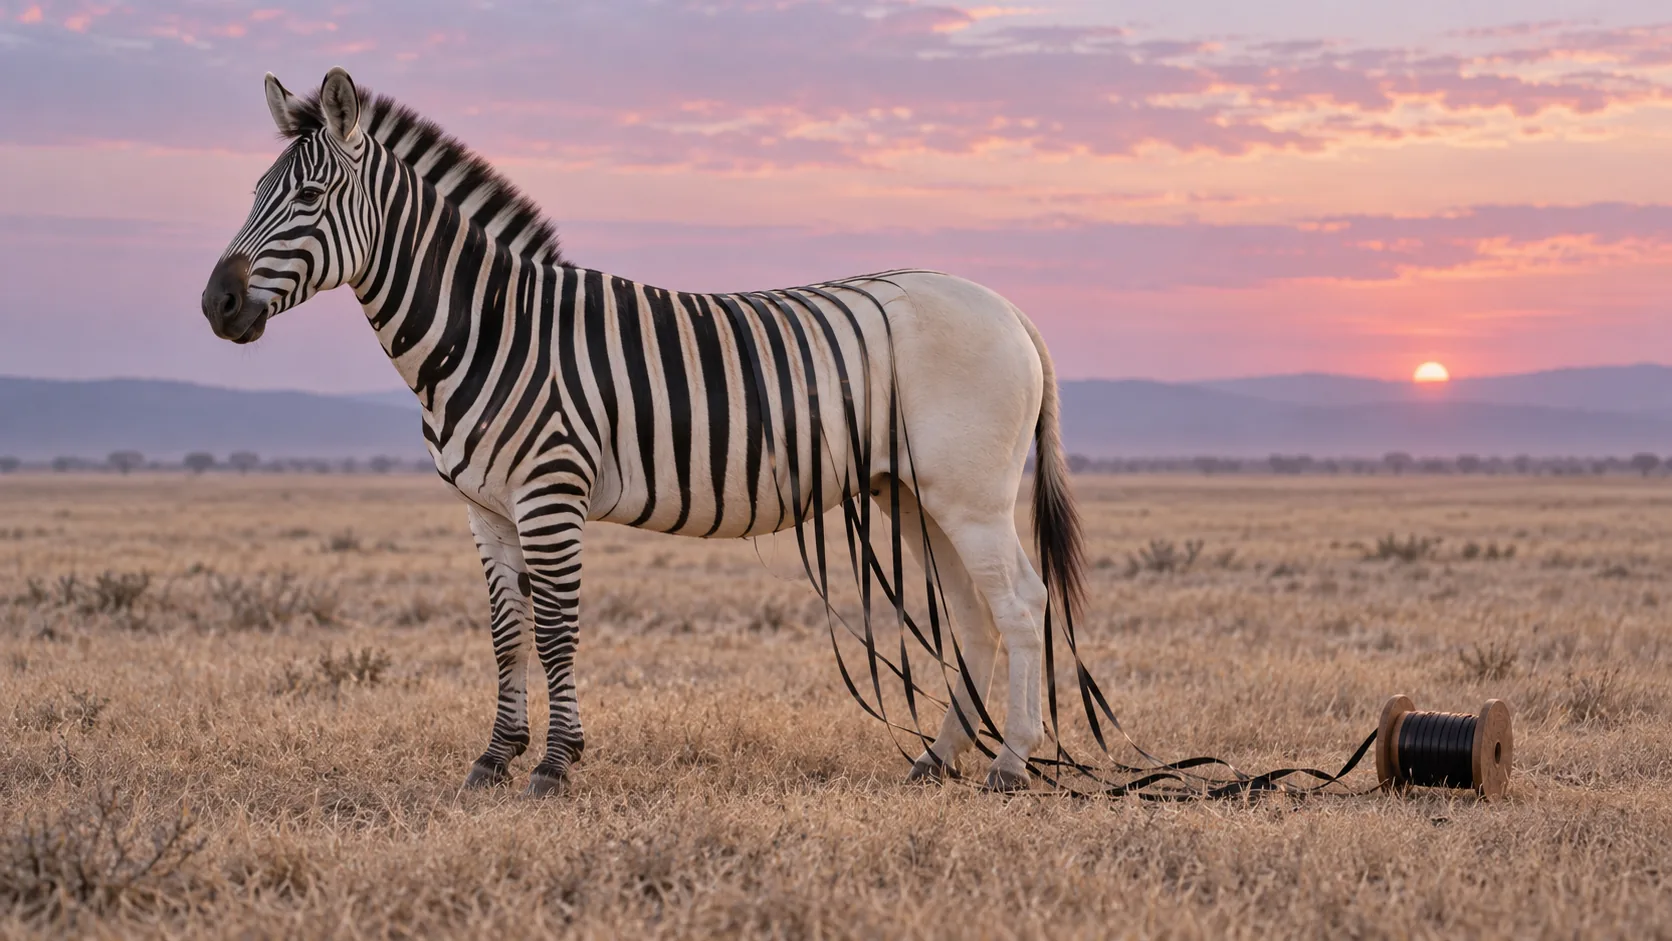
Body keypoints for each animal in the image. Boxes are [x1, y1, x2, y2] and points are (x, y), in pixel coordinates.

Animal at [201, 68, 1084, 796]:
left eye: (309, 198)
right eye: (252, 191)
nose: (217, 304)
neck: (490, 330)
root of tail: (1010, 309)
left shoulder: (550, 493)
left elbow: (556, 633)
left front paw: (556, 764)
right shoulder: (486, 509)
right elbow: (506, 633)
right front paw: (495, 756)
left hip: (970, 495)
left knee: (1019, 602)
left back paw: (1009, 764)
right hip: (914, 495)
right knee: (971, 614)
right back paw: (938, 757)